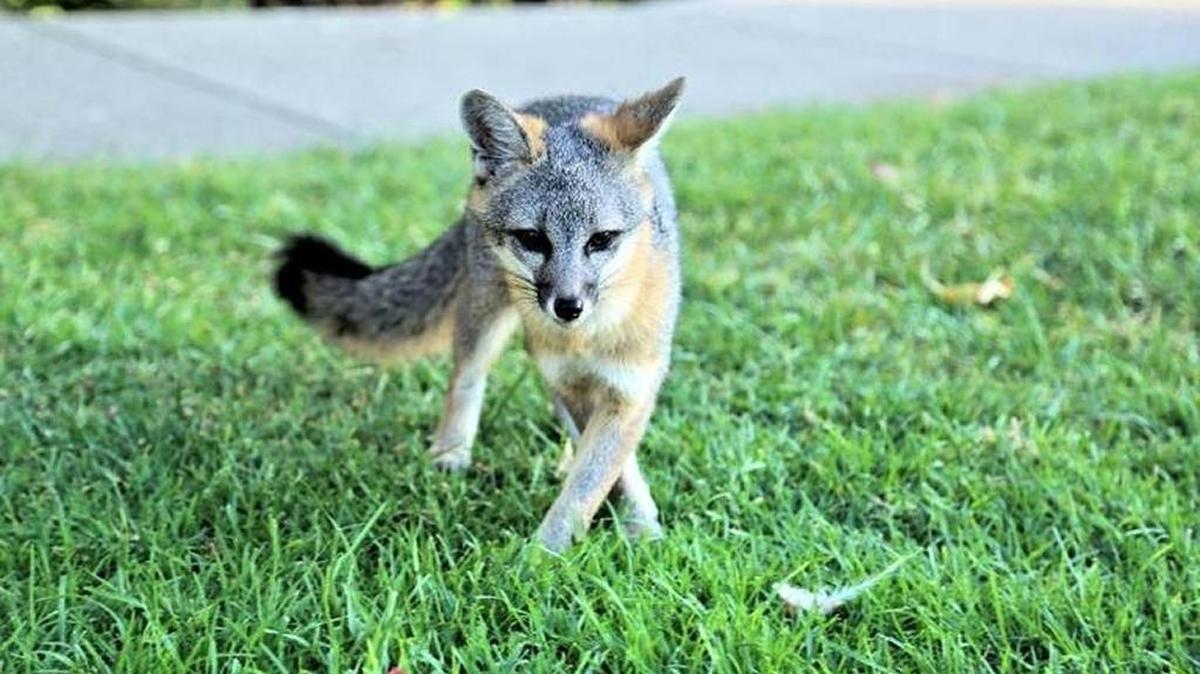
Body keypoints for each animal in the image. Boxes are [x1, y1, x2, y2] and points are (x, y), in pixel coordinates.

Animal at [273, 78, 685, 552]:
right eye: (533, 238)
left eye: (601, 240)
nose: (567, 307)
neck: (588, 336)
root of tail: (558, 101)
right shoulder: (575, 382)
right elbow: (592, 477)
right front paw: (542, 557)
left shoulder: (629, 387)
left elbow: (595, 477)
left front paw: (628, 528)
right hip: (484, 314)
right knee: (465, 377)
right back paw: (450, 453)